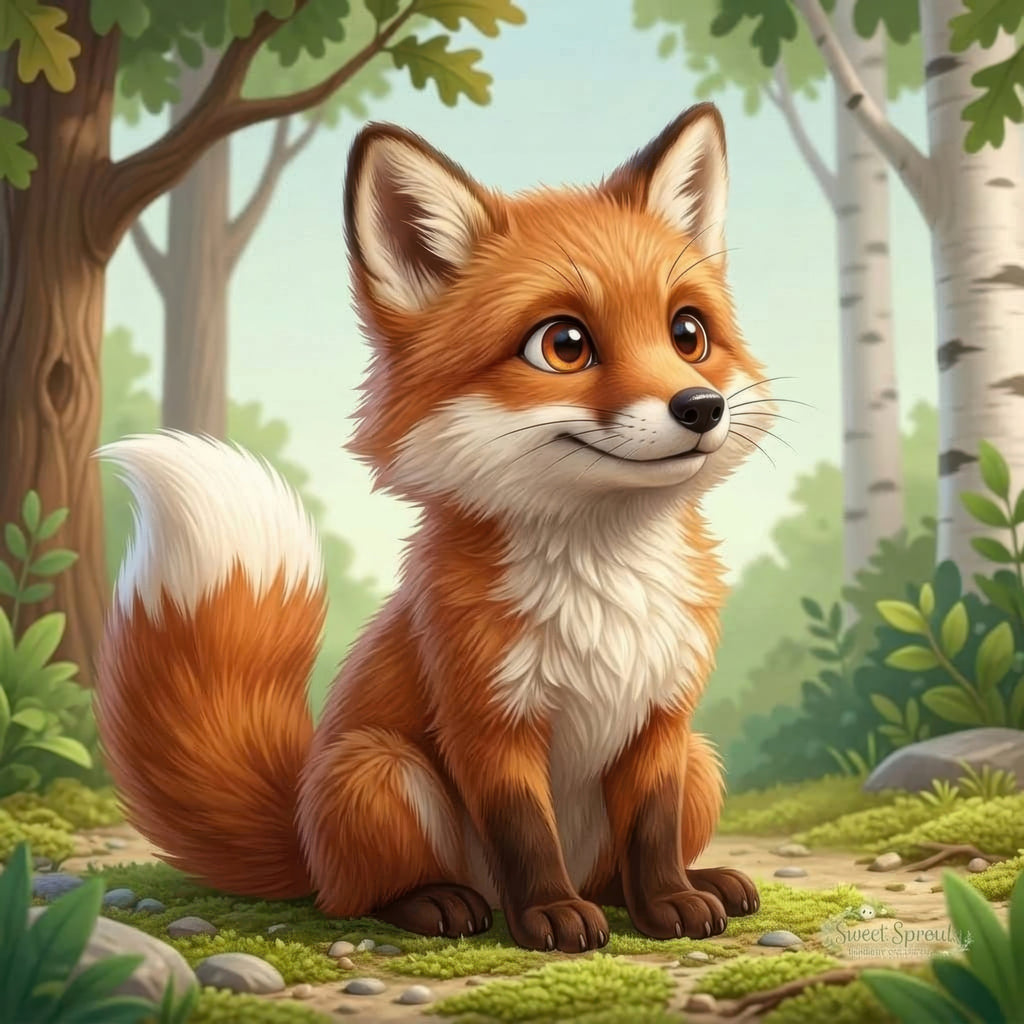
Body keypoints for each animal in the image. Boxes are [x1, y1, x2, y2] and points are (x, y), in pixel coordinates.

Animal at [95, 102, 773, 953]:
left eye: (688, 334)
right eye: (564, 345)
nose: (701, 408)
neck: (603, 588)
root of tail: (301, 829)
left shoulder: (662, 719)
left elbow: (650, 835)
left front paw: (669, 905)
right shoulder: (485, 718)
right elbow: (525, 834)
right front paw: (548, 917)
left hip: (701, 765)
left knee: (617, 869)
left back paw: (697, 882)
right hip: (381, 772)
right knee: (358, 898)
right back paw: (440, 904)